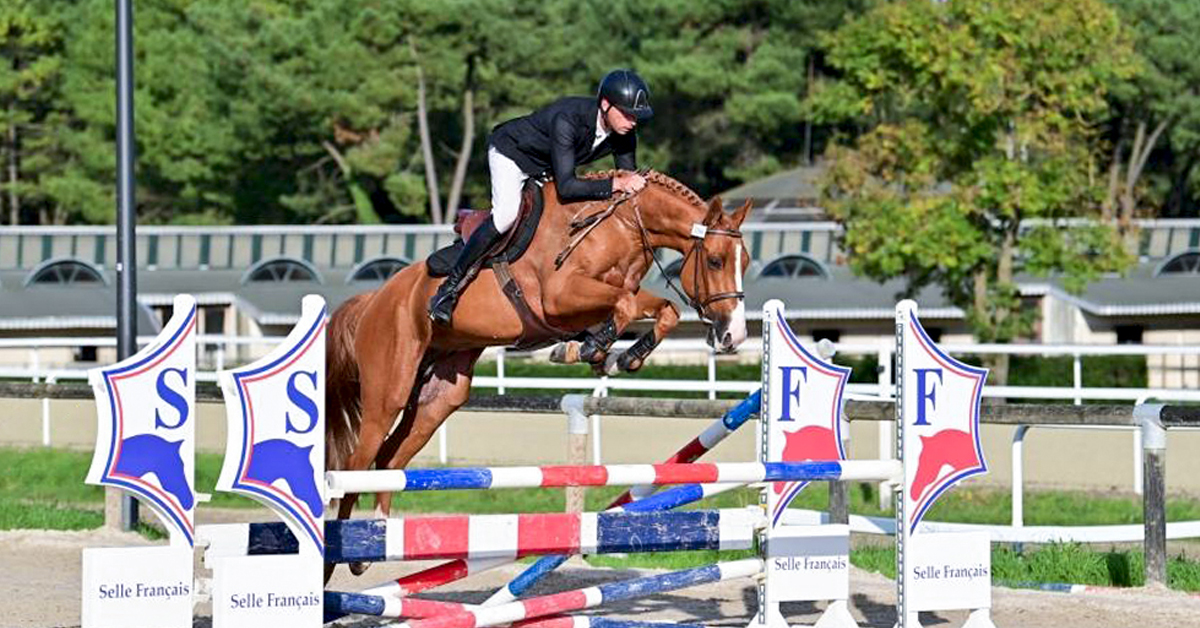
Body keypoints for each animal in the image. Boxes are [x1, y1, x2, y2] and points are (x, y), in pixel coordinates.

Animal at [324, 170, 751, 575]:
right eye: (714, 260)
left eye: (744, 262)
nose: (734, 335)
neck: (624, 223)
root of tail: (374, 299)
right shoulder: (560, 296)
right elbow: (626, 305)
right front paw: (589, 348)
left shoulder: (612, 293)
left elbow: (662, 309)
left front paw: (617, 357)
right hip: (389, 390)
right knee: (356, 463)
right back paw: (342, 549)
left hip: (438, 399)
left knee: (389, 459)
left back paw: (372, 542)